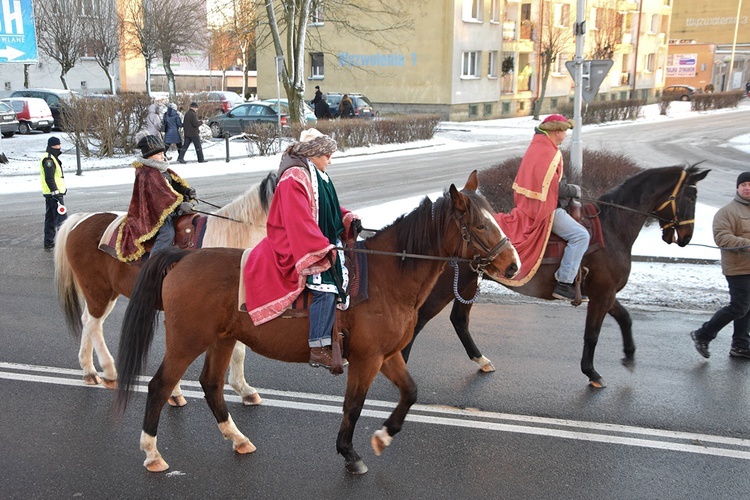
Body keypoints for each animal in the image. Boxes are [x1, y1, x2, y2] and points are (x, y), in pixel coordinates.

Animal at [54, 172, 276, 406]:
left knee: (88, 321)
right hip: (98, 290)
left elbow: (238, 351)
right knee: (93, 324)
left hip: (104, 293)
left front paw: (244, 390)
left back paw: (89, 371)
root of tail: (80, 219)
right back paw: (109, 371)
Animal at [114, 171, 524, 472]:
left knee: (211, 386)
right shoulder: (367, 359)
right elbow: (353, 405)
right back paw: (152, 452)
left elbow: (410, 392)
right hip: (187, 341)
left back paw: (238, 438)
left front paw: (384, 436)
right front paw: (349, 453)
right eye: (481, 226)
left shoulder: (388, 355)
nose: (513, 265)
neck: (387, 275)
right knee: (160, 386)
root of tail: (182, 258)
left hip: (222, 338)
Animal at [406, 163, 712, 386]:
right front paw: (592, 372)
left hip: (467, 283)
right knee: (420, 319)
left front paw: (629, 355)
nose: (687, 237)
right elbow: (592, 334)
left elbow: (625, 319)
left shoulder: (605, 293)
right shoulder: (602, 294)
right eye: (692, 195)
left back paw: (481, 360)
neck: (612, 226)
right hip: (447, 285)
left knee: (459, 320)